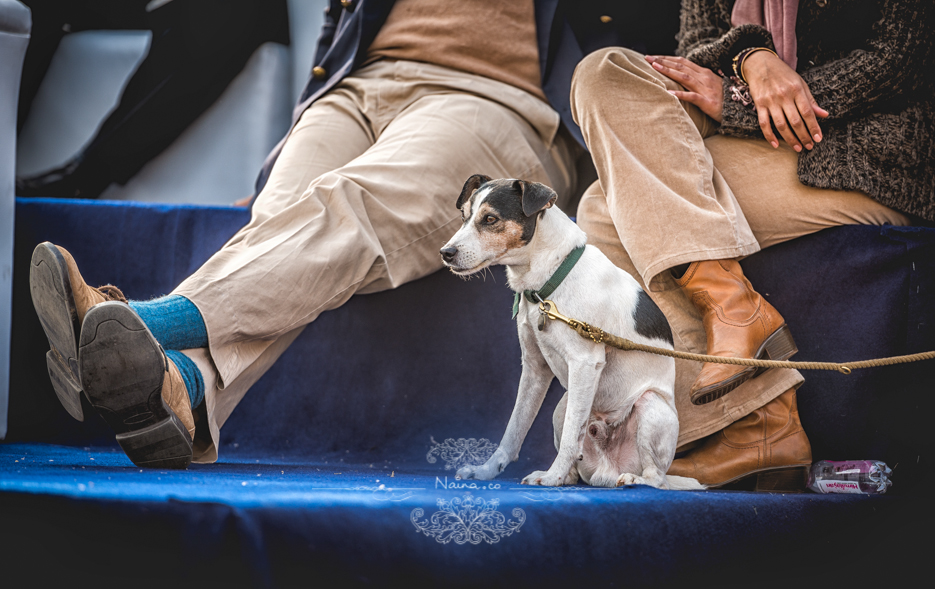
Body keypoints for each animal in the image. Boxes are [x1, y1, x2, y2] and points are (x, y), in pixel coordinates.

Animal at [440, 177, 704, 490]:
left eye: (490, 219)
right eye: (463, 216)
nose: (445, 253)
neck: (547, 281)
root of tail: (607, 471)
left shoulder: (584, 363)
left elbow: (568, 439)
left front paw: (551, 476)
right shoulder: (534, 368)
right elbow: (513, 431)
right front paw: (487, 471)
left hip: (650, 406)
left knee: (656, 478)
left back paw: (631, 479)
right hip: (562, 407)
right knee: (578, 456)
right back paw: (568, 477)